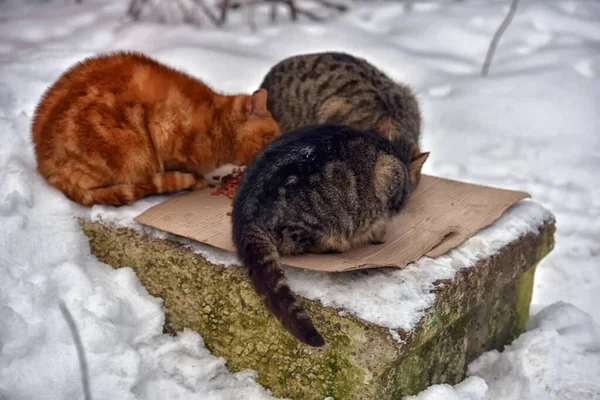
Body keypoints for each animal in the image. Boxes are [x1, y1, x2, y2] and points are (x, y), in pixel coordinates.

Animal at [34, 50, 282, 206]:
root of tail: (44, 166)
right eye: (271, 137)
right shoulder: (165, 132)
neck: (218, 123)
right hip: (130, 152)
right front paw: (196, 181)